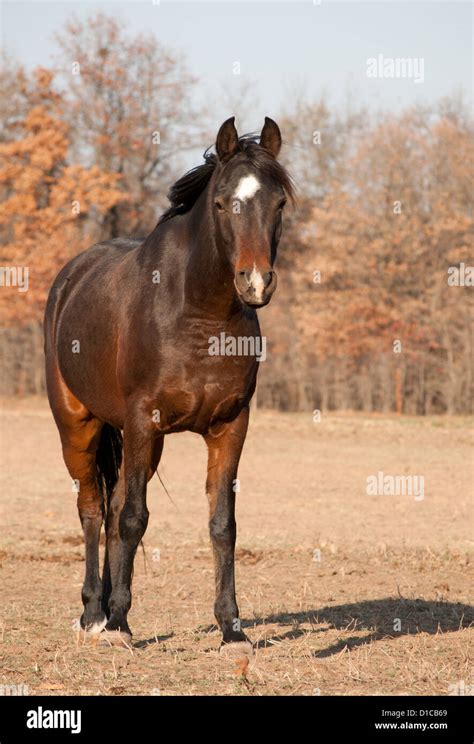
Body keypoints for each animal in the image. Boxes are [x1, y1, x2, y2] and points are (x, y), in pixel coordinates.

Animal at [44, 113, 292, 652]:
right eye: (222, 202)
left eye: (279, 203)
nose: (256, 282)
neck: (197, 312)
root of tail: (72, 274)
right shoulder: (143, 420)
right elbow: (134, 518)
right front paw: (119, 626)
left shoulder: (230, 426)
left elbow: (222, 524)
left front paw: (231, 629)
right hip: (79, 425)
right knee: (93, 509)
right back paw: (94, 614)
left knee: (111, 507)